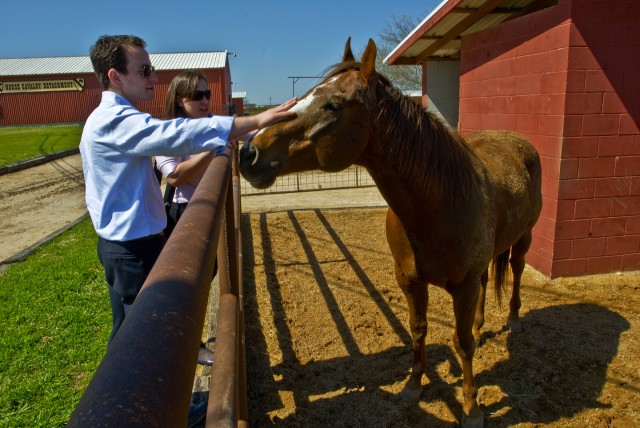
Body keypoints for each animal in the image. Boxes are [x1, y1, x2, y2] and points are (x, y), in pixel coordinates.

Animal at [239, 38, 540, 426]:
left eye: (333, 104)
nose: (249, 153)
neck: (439, 204)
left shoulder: (464, 285)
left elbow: (462, 344)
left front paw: (472, 409)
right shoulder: (410, 280)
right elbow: (418, 329)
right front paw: (413, 386)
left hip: (524, 238)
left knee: (516, 269)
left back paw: (514, 320)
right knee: (489, 283)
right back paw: (480, 324)